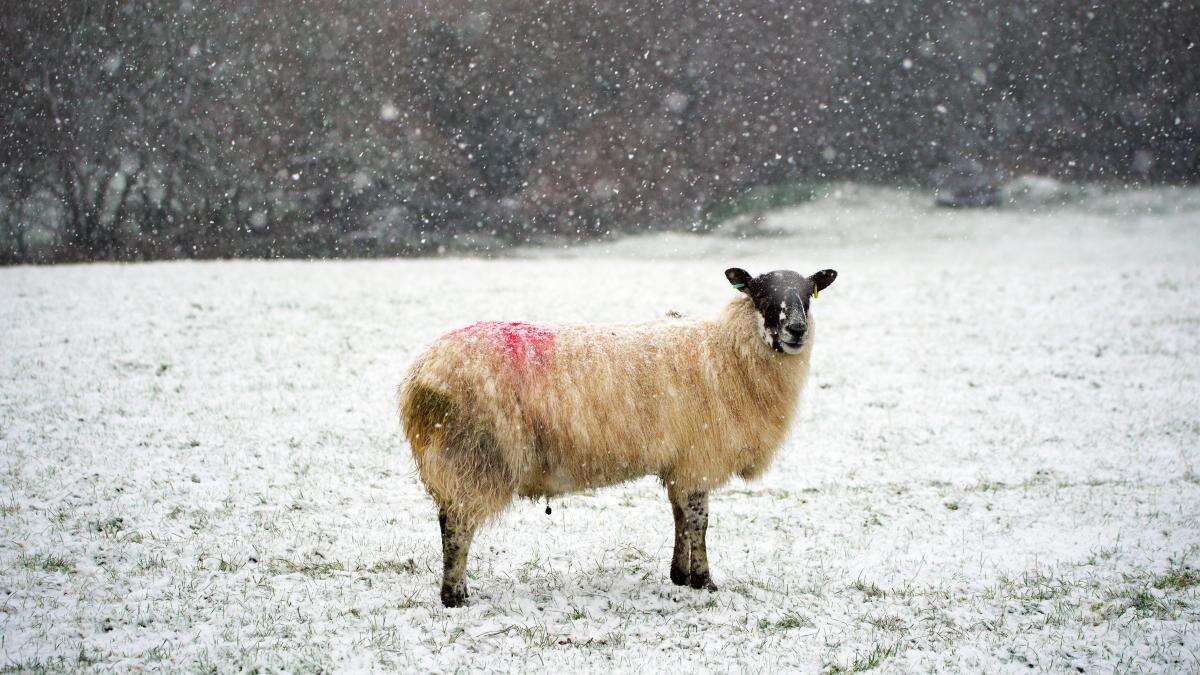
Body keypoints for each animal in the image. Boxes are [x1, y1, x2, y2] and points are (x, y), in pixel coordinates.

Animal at [398, 265, 840, 607]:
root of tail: (419, 379)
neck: (728, 351)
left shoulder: (680, 462)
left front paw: (680, 575)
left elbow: (681, 516)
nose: (797, 331)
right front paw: (705, 581)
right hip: (473, 456)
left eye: (809, 295)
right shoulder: (699, 458)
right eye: (761, 294)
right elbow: (700, 521)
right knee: (456, 526)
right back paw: (455, 596)